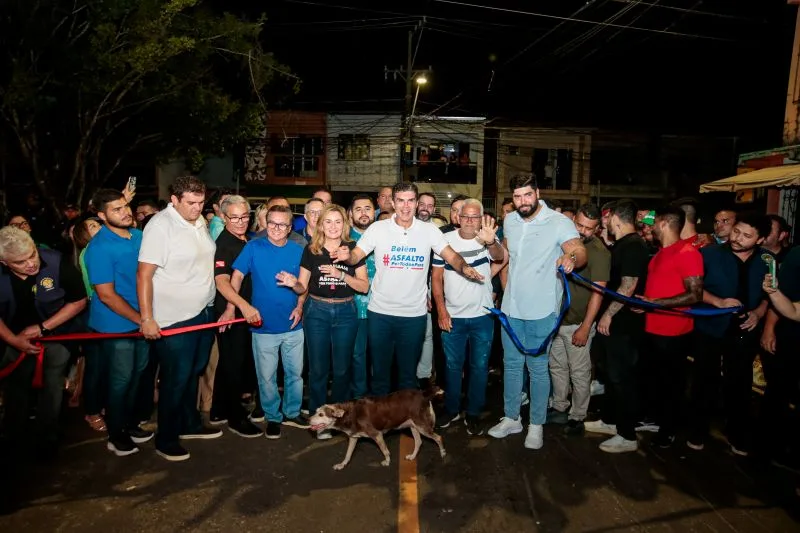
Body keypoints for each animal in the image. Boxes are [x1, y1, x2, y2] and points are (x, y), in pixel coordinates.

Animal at [308, 386, 446, 470]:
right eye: (316, 412)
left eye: (321, 414)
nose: (308, 420)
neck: (349, 413)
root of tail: (424, 394)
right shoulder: (353, 437)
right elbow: (348, 454)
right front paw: (342, 465)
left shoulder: (376, 434)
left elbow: (385, 451)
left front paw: (387, 461)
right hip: (414, 426)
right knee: (419, 442)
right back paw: (412, 457)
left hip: (422, 426)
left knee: (438, 437)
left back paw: (443, 453)